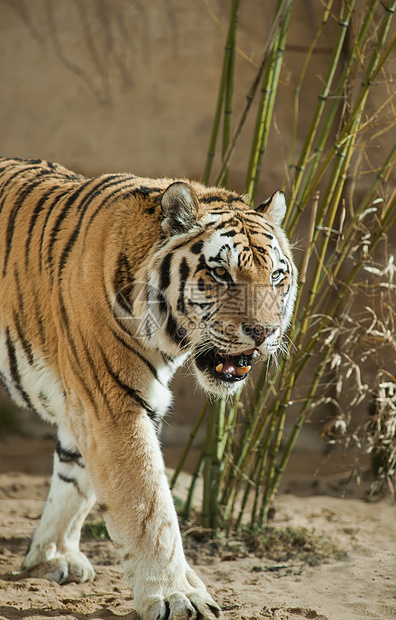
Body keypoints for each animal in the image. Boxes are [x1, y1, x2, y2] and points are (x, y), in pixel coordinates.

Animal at [0, 157, 296, 620]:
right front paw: (177, 595)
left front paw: (50, 556)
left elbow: (75, 481)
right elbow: (149, 506)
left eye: (278, 276)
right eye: (220, 273)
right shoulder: (112, 403)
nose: (265, 333)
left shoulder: (86, 404)